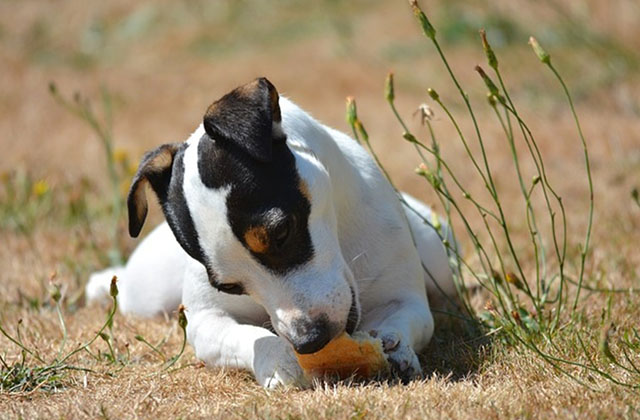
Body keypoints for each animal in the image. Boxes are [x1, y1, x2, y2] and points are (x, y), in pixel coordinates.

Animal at [87, 78, 458, 388]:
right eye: (229, 287)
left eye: (281, 232)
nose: (309, 340)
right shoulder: (205, 321)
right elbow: (247, 337)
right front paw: (277, 359)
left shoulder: (407, 300)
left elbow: (405, 319)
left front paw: (395, 345)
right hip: (148, 294)